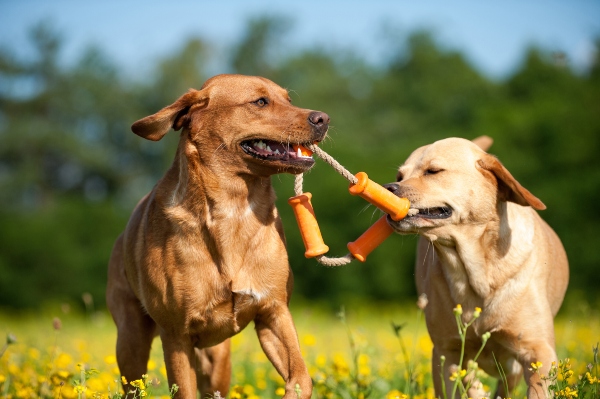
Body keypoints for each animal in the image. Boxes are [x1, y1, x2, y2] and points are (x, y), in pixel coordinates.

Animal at [109, 73, 332, 398]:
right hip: (131, 343)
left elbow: (301, 377)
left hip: (218, 359)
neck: (234, 209)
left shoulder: (274, 311)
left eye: (289, 100)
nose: (323, 118)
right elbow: (183, 391)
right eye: (260, 101)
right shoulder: (176, 336)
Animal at [386, 138, 568, 399]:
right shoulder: (447, 352)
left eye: (433, 171)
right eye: (399, 176)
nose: (389, 187)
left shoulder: (538, 350)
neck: (476, 275)